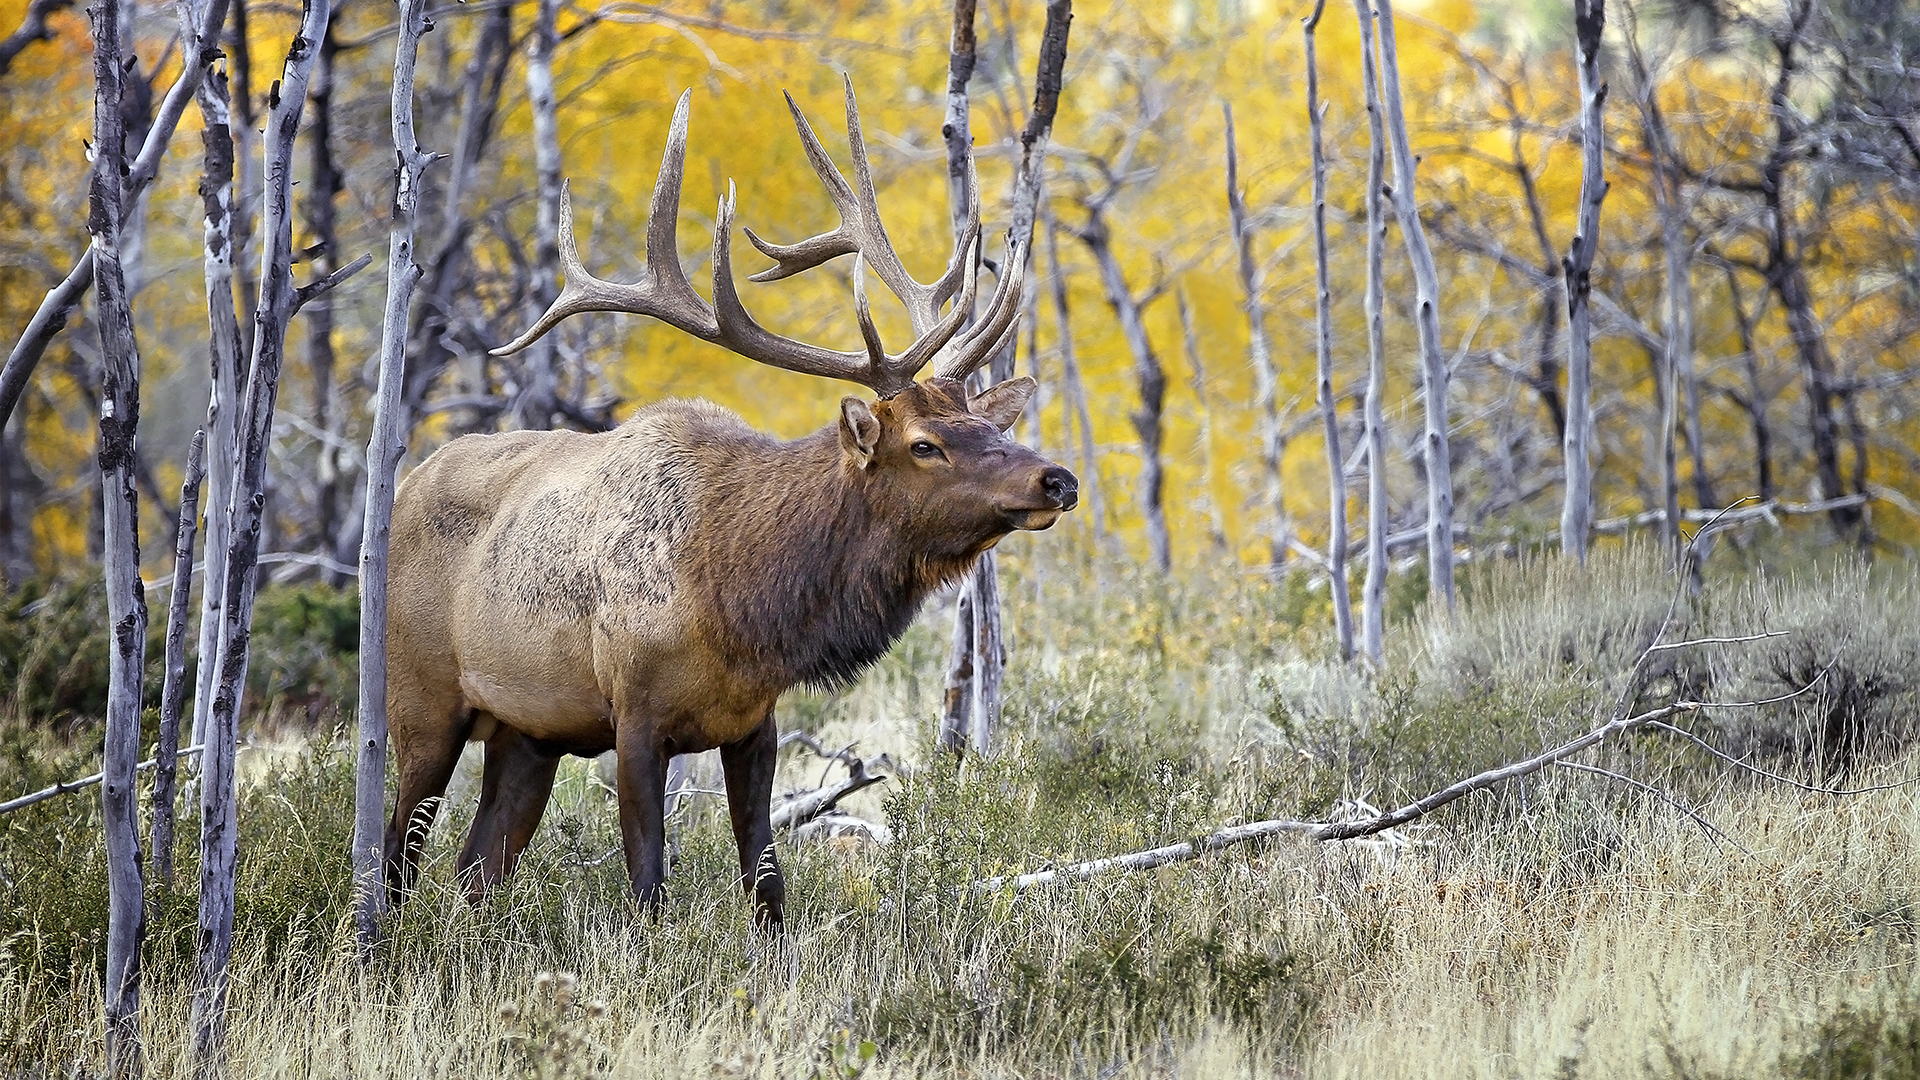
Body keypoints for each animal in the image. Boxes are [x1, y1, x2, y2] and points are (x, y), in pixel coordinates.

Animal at [382, 81, 1077, 930]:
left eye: (988, 425)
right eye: (923, 445)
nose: (1055, 480)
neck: (740, 604)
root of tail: (407, 486)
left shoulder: (755, 723)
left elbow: (767, 884)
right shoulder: (635, 714)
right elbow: (649, 885)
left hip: (526, 731)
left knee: (475, 872)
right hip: (421, 699)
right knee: (394, 854)